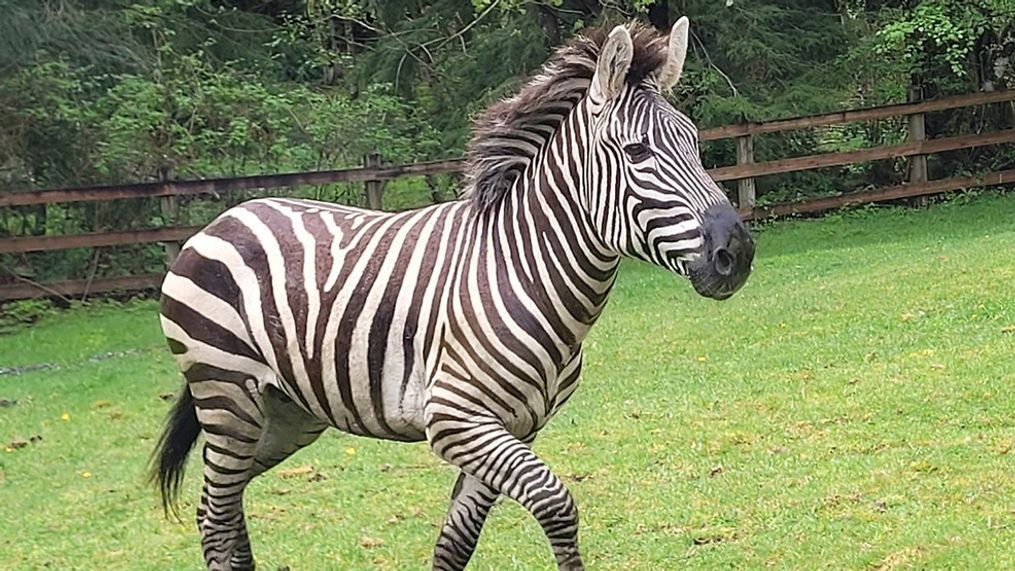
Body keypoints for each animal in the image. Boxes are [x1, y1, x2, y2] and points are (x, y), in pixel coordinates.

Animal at [150, 17, 755, 571]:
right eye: (636, 153)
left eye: (695, 143)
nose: (739, 252)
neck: (525, 271)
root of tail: (223, 218)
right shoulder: (455, 418)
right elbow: (556, 503)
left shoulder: (513, 426)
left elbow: (455, 543)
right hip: (228, 395)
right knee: (217, 514)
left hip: (285, 413)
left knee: (221, 507)